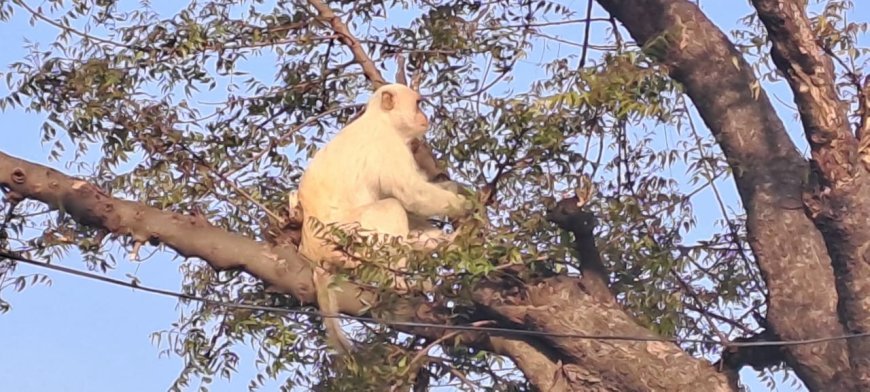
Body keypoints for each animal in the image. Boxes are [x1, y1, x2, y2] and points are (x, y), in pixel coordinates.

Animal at [298, 83, 470, 356]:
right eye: (418, 104)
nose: (425, 117)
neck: (381, 119)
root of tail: (314, 255)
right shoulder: (390, 147)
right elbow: (411, 194)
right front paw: (464, 205)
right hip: (346, 241)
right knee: (392, 208)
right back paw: (396, 283)